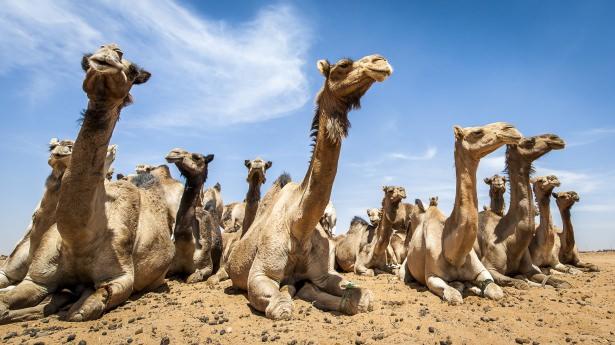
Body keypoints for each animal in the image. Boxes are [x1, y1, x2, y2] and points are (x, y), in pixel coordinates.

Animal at [0, 43, 174, 322]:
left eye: (133, 70)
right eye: (88, 59)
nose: (111, 49)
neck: (79, 238)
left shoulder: (120, 277)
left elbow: (83, 310)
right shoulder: (36, 278)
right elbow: (6, 300)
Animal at [224, 54, 392, 320]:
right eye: (343, 65)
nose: (381, 61)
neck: (298, 224)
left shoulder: (325, 273)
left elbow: (363, 297)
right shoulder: (260, 275)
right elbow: (281, 307)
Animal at [404, 123, 524, 304]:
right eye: (477, 132)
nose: (511, 129)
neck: (453, 254)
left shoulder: (482, 270)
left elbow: (495, 290)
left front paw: (476, 287)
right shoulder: (431, 276)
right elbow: (454, 295)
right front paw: (460, 287)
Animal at [476, 133, 572, 288]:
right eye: (529, 141)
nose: (556, 139)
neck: (512, 241)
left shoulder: (529, 268)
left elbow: (549, 278)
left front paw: (562, 283)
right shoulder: (490, 267)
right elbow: (516, 281)